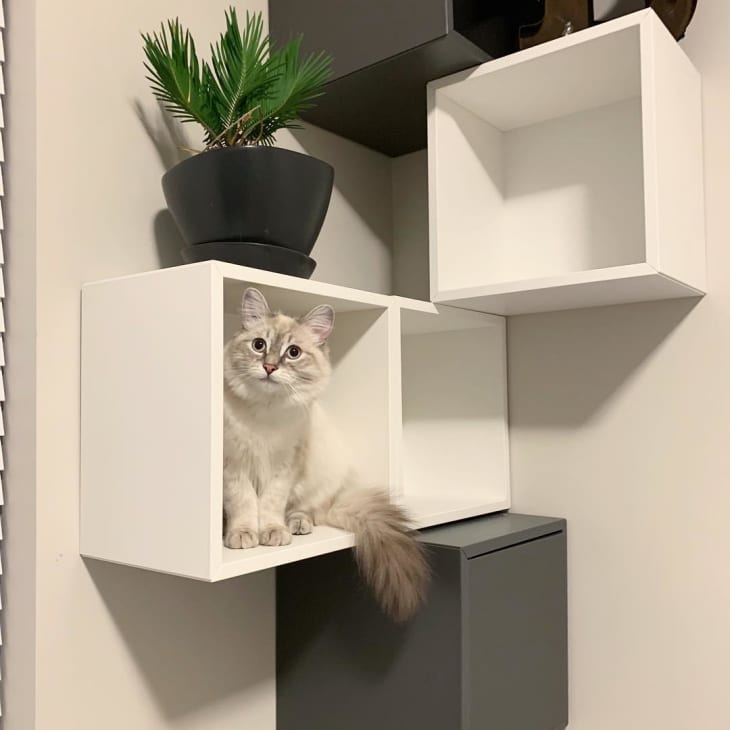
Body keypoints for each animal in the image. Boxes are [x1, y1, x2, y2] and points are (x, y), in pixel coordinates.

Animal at [222, 286, 426, 620]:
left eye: (293, 352)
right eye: (258, 345)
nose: (269, 367)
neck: (266, 411)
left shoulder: (285, 466)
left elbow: (269, 505)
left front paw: (272, 532)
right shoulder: (234, 466)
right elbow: (245, 504)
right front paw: (242, 534)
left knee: (309, 511)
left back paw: (296, 525)